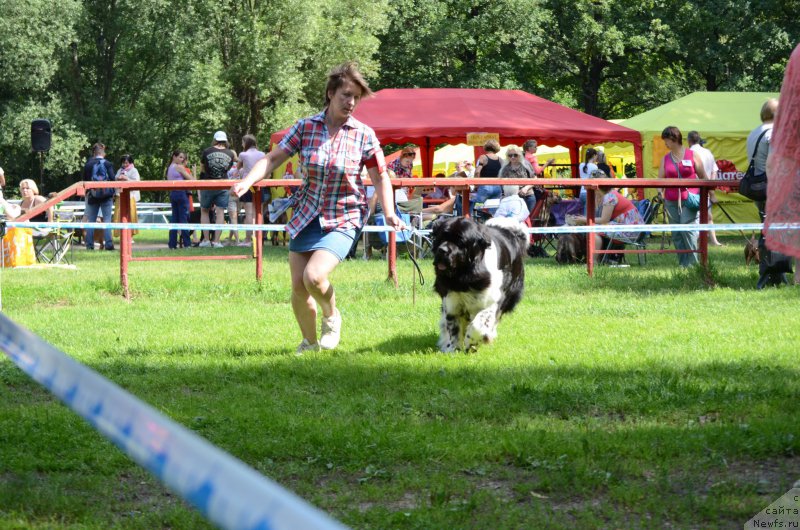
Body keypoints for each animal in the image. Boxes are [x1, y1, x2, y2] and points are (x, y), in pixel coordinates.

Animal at [428, 214, 528, 350]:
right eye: (441, 237)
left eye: (460, 242)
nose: (442, 250)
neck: (464, 276)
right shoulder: (451, 301)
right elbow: (453, 328)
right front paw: (453, 349)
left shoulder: (492, 301)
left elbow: (478, 324)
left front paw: (472, 342)